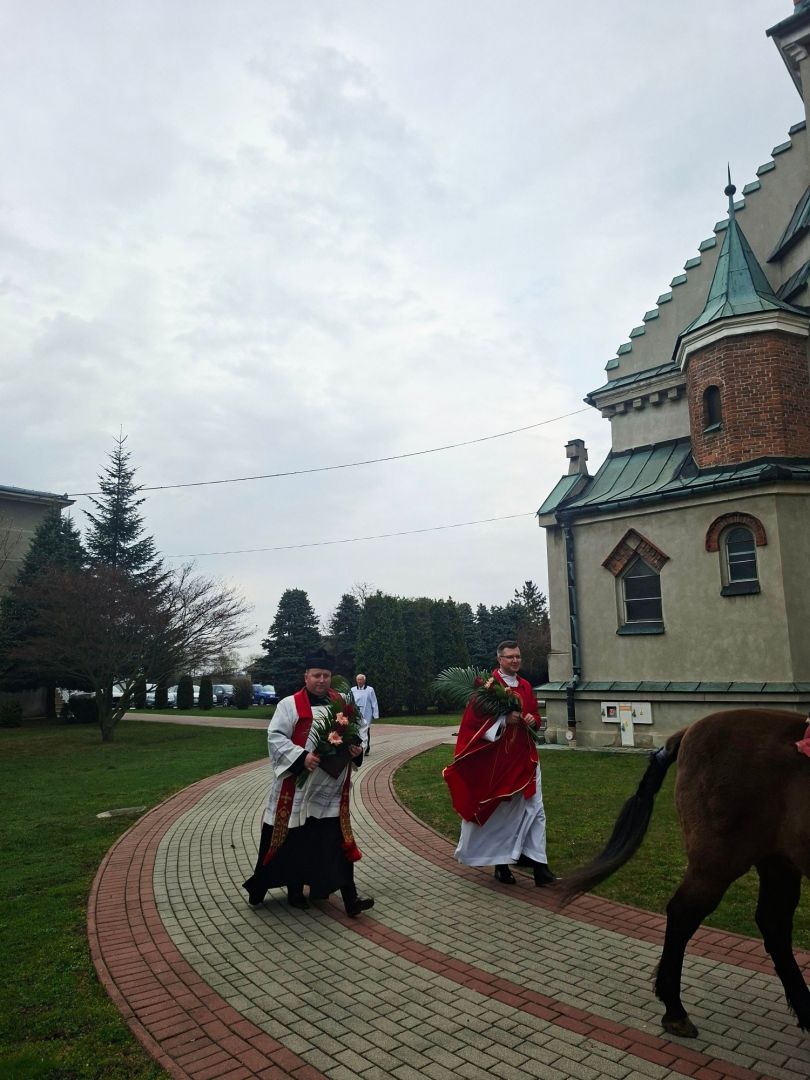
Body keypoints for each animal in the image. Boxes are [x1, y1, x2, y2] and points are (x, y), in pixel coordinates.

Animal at [558, 709, 810, 1038]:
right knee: (683, 914)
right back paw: (674, 1009)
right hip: (718, 862)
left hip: (778, 862)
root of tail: (690, 730)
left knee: (773, 924)